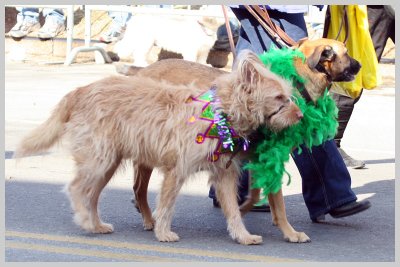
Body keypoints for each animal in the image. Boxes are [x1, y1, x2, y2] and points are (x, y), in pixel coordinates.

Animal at [15, 49, 304, 246]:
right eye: (279, 97)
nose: (301, 116)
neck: (221, 110)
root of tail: (81, 89)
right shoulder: (176, 170)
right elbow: (166, 205)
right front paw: (163, 232)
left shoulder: (224, 175)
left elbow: (233, 210)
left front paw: (243, 236)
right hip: (99, 160)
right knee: (76, 189)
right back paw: (86, 220)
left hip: (106, 164)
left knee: (92, 195)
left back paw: (95, 224)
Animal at [117, 37, 360, 245]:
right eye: (346, 52)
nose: (359, 65)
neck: (300, 80)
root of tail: (144, 70)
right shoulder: (269, 156)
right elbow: (278, 202)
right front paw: (290, 232)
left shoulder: (257, 158)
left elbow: (255, 193)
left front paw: (243, 210)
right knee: (138, 188)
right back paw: (149, 218)